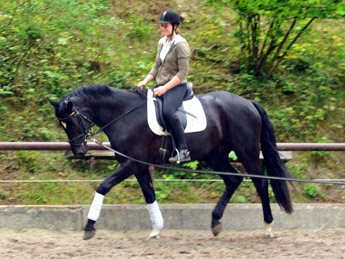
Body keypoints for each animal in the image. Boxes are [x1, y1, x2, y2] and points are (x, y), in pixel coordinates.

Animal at [49, 86, 290, 242]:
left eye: (71, 120)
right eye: (62, 124)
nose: (79, 152)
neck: (123, 115)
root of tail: (248, 102)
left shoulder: (131, 163)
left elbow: (103, 186)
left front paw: (89, 227)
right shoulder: (139, 165)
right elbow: (149, 194)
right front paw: (156, 229)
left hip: (247, 152)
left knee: (261, 184)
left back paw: (268, 227)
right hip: (215, 156)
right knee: (233, 180)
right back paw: (215, 223)